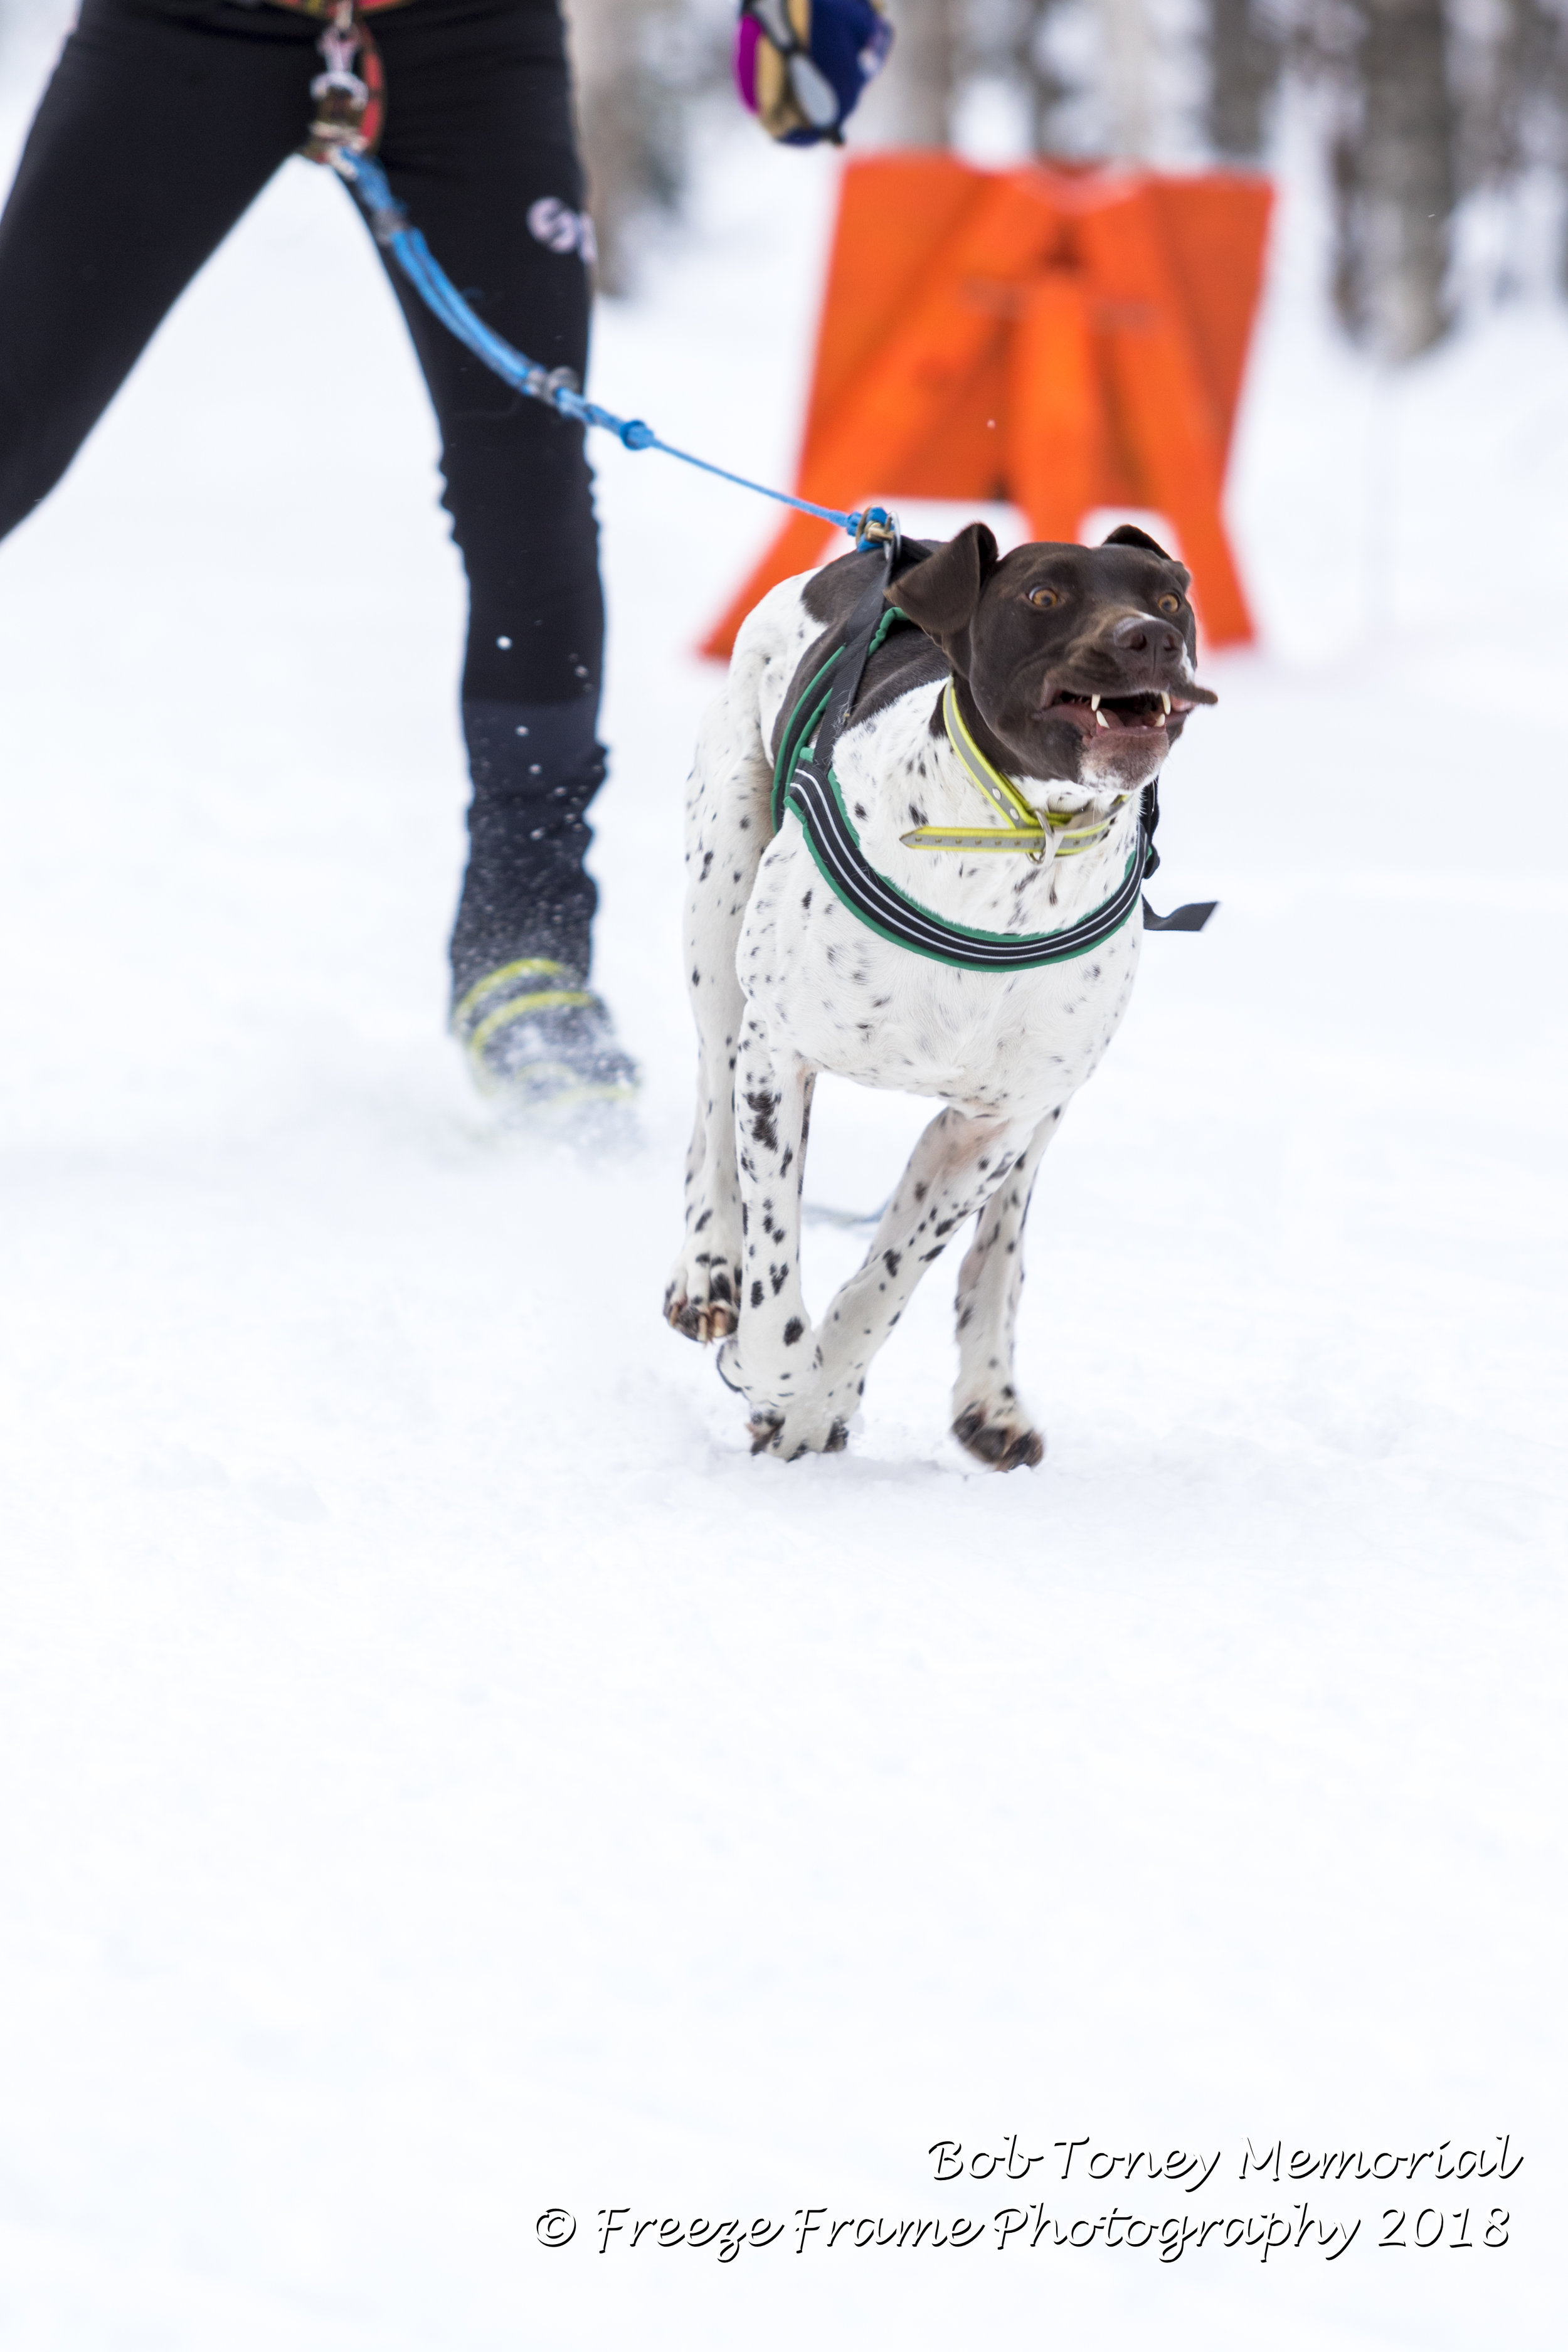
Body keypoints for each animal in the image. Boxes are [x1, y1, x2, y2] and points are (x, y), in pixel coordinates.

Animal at [662, 524, 1213, 1458]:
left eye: (1169, 598)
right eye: (1042, 596)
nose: (1149, 639)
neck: (1017, 848)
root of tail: (884, 546)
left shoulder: (987, 1129)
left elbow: (886, 1283)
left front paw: (822, 1400)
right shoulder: (779, 1059)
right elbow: (777, 1281)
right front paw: (772, 1374)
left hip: (1050, 1103)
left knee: (1000, 1245)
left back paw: (988, 1396)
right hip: (718, 906)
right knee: (709, 1092)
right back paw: (707, 1269)